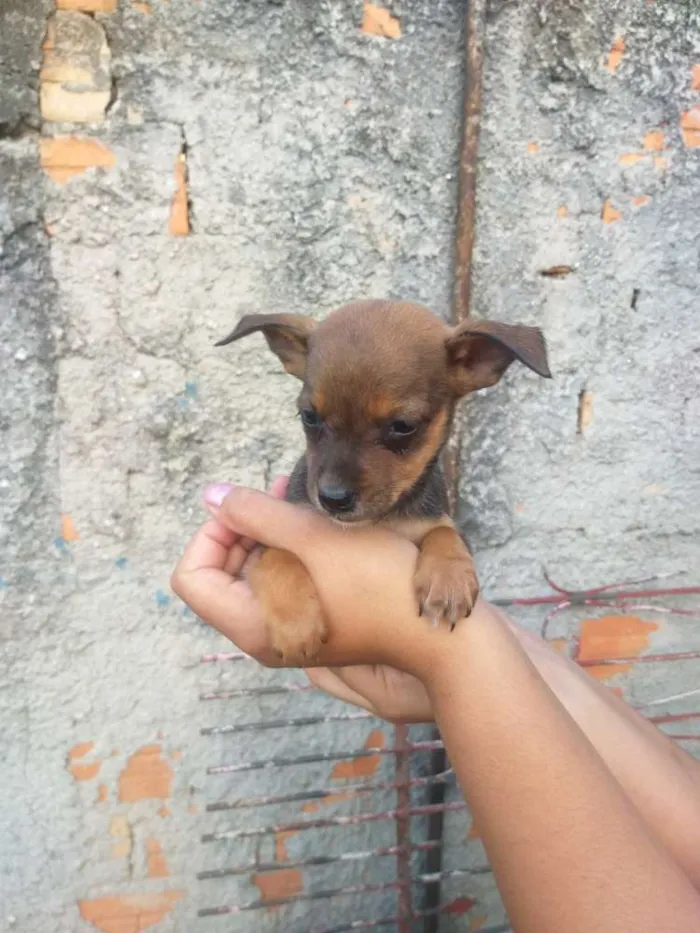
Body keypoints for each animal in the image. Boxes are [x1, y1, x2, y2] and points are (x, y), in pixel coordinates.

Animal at [216, 298, 548, 664]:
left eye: (403, 426)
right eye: (308, 416)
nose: (332, 498)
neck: (379, 519)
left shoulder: (439, 522)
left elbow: (445, 532)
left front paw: (448, 580)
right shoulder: (262, 547)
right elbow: (277, 556)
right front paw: (295, 624)